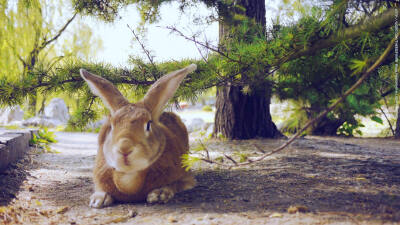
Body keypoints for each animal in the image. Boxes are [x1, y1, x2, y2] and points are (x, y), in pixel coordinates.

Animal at [79, 64, 198, 208]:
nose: (124, 148)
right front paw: (98, 200)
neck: (129, 174)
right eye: (111, 126)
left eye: (148, 125)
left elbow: (175, 184)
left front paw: (159, 194)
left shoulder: (185, 177)